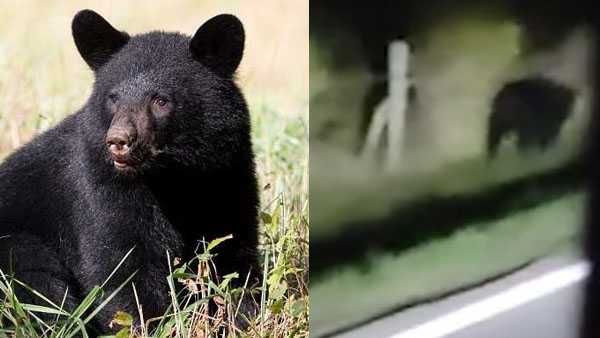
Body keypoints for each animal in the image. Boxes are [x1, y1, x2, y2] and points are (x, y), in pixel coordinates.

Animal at [0, 9, 262, 332]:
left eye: (161, 100)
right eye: (113, 98)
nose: (118, 141)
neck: (172, 177)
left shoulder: (228, 174)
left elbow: (233, 254)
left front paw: (244, 318)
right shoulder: (101, 188)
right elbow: (123, 268)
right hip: (15, 247)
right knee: (41, 287)